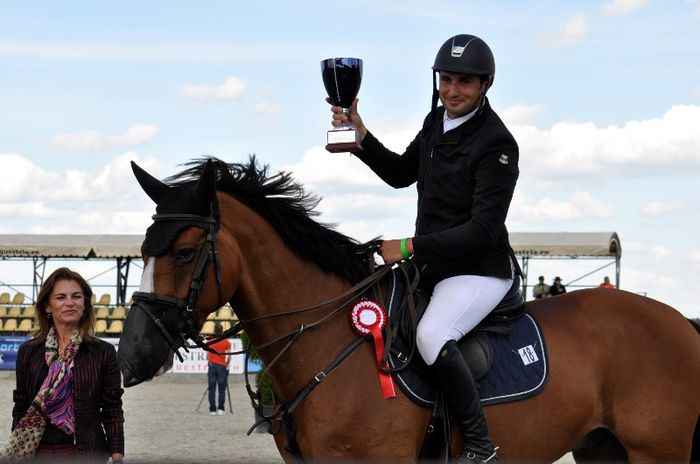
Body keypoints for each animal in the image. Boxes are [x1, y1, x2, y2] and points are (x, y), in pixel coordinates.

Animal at [119, 158, 700, 462]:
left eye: (185, 252)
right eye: (142, 250)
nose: (131, 358)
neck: (332, 346)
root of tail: (680, 322)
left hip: (658, 450)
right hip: (603, 447)